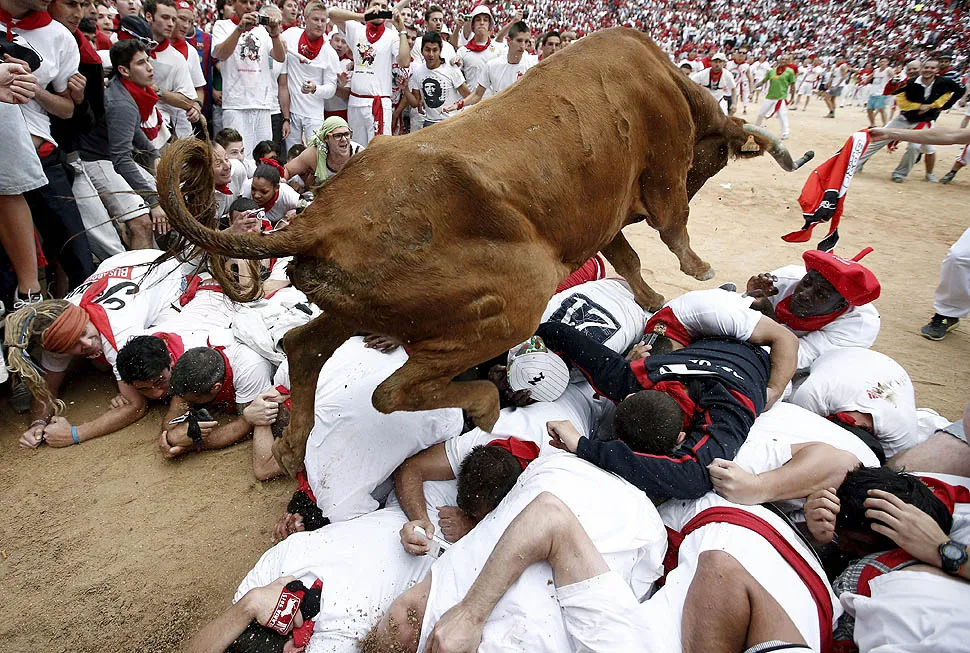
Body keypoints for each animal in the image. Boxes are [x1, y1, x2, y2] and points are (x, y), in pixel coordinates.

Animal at [157, 26, 808, 474]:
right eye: (718, 157)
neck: (665, 81)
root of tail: (319, 219)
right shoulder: (663, 172)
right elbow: (672, 225)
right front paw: (698, 267)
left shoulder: (600, 216)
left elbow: (628, 257)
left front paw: (650, 299)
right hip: (514, 298)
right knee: (394, 390)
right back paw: (485, 405)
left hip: (353, 308)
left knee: (303, 346)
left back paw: (294, 446)